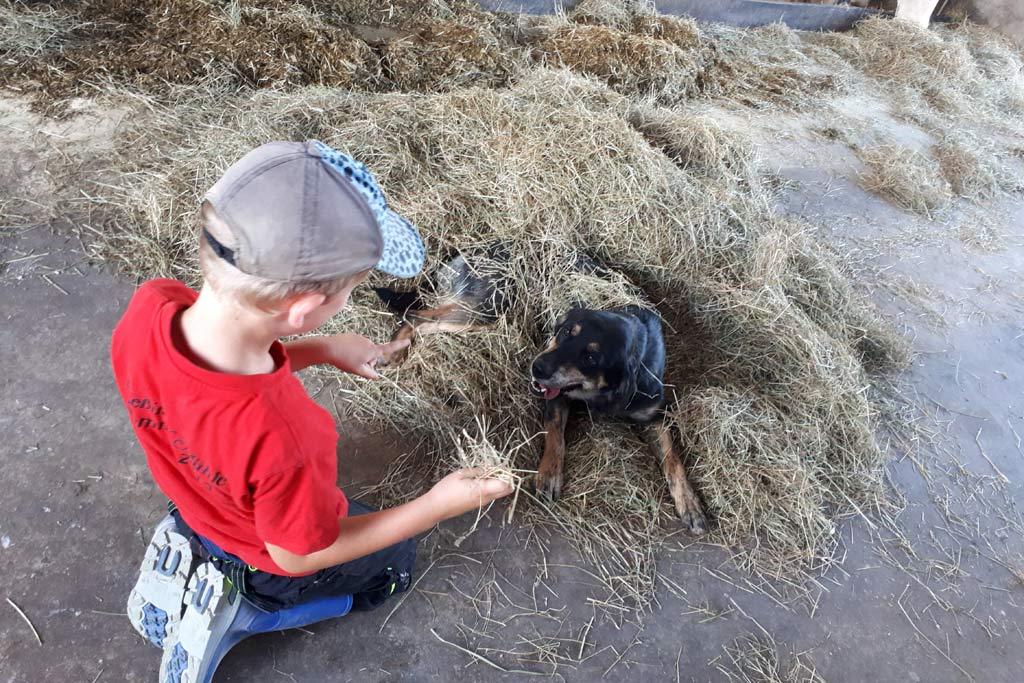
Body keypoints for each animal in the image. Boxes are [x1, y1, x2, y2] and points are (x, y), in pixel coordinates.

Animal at [380, 250, 708, 532]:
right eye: (564, 332)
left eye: (591, 357)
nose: (536, 367)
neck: (602, 393)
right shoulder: (556, 397)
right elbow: (555, 434)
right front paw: (549, 474)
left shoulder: (654, 415)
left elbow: (673, 458)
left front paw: (691, 503)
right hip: (487, 310)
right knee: (417, 317)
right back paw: (394, 351)